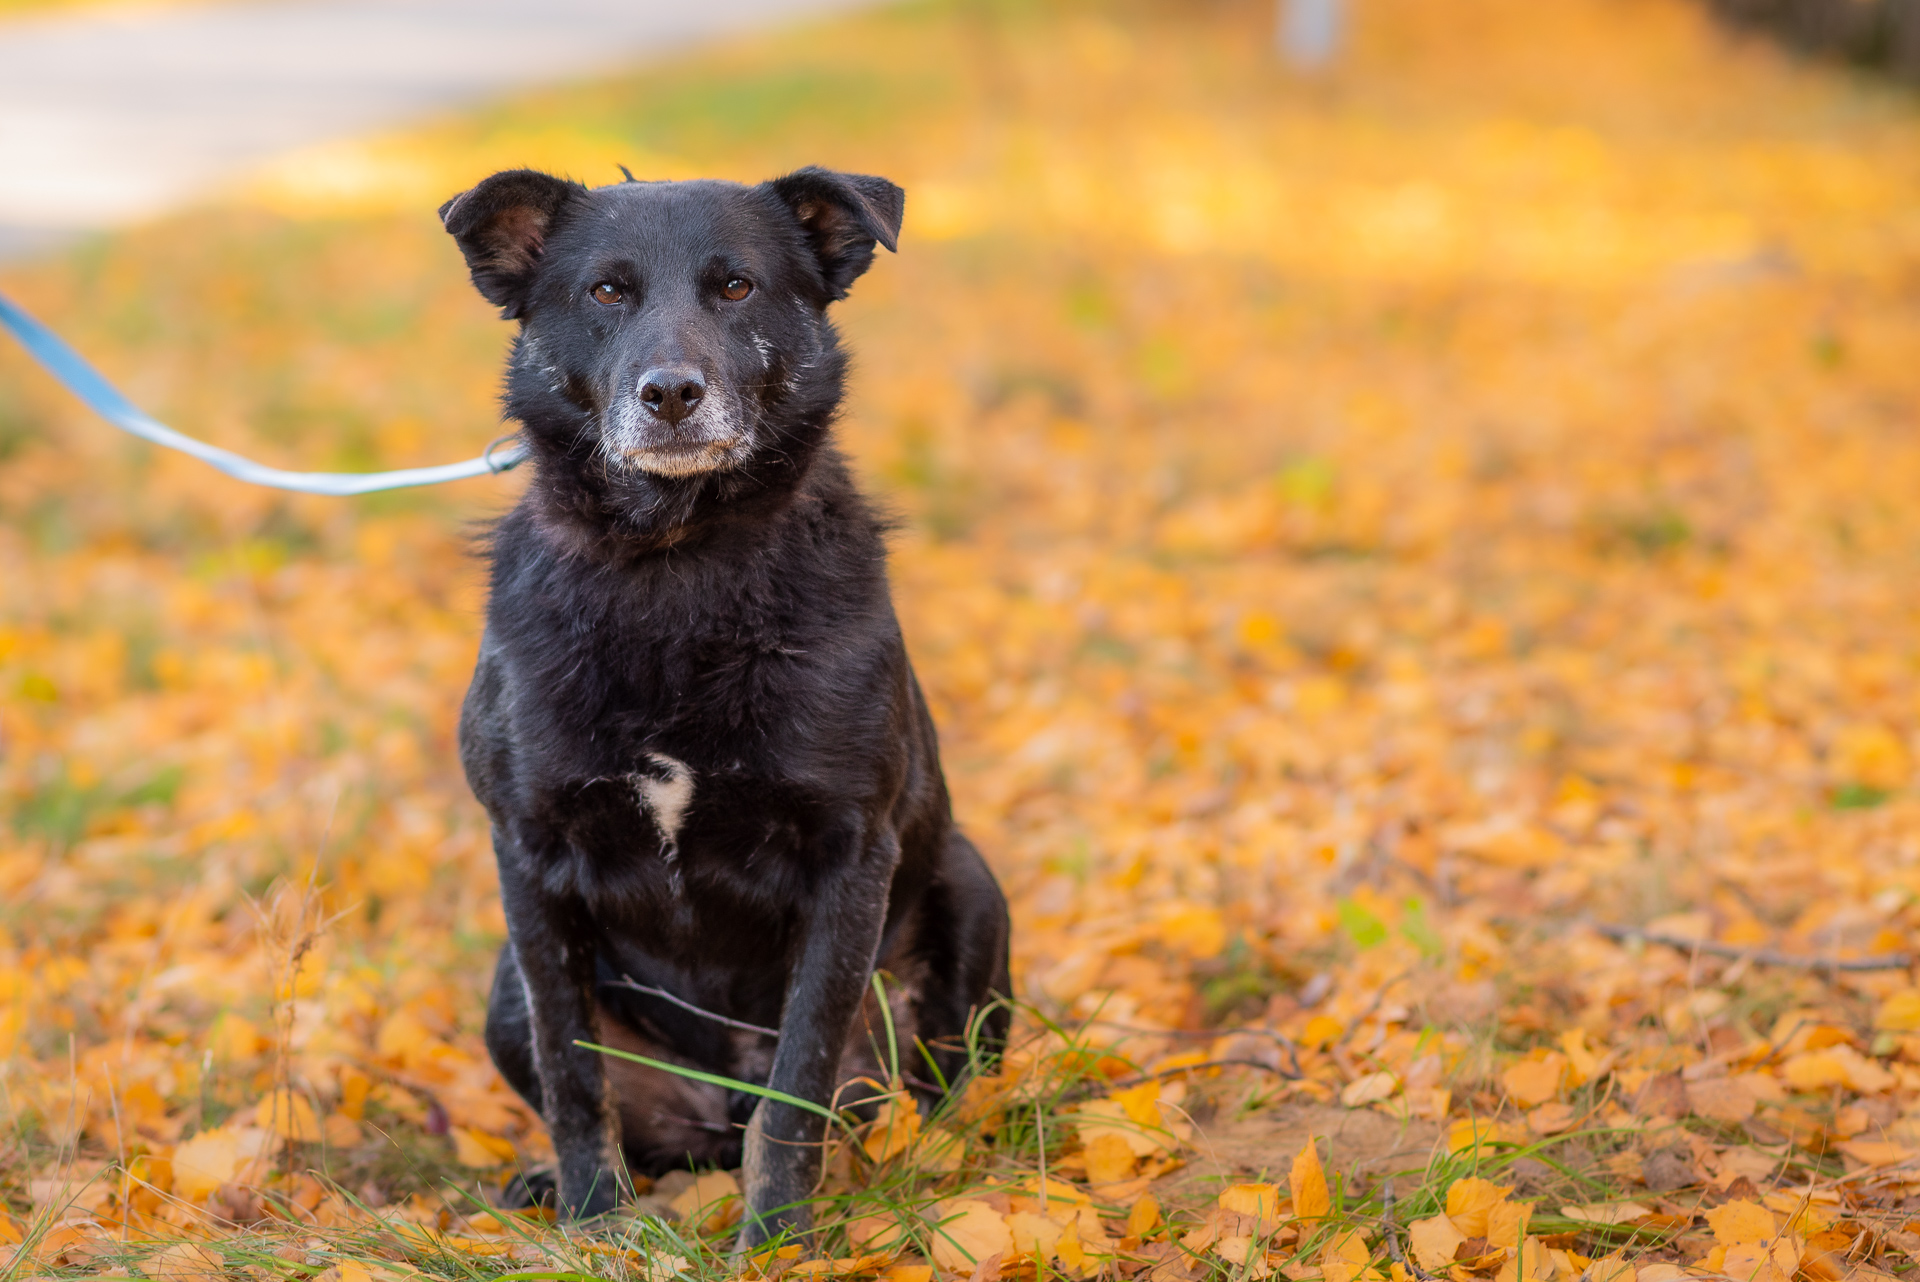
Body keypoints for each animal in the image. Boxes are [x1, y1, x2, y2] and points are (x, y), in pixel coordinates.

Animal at [441, 169, 1013, 1243]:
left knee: (924, 1092)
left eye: (737, 286)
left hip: (969, 886)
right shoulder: (528, 859)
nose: (670, 393)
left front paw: (779, 1237)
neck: (676, 567)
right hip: (502, 986)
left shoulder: (850, 858)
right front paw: (593, 1223)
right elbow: (575, 1077)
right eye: (607, 291)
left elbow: (798, 1086)